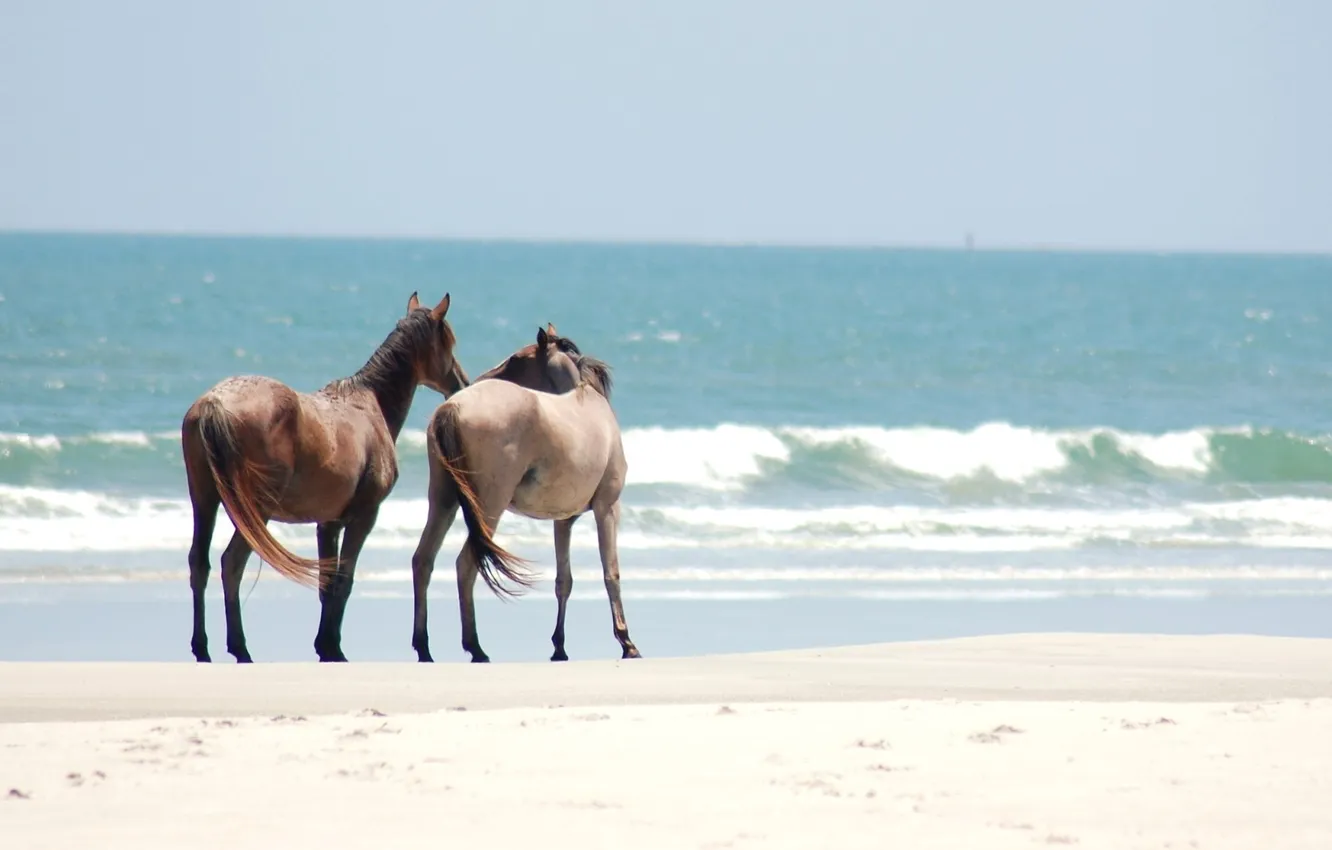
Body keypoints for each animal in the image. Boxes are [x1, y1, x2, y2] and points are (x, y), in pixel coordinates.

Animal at [183, 293, 468, 666]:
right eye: (449, 341)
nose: (461, 383)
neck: (369, 404)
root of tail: (214, 403)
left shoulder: (328, 523)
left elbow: (327, 582)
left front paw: (325, 646)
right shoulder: (363, 517)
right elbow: (343, 580)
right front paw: (334, 648)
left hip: (204, 501)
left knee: (199, 564)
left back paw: (202, 649)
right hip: (254, 511)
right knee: (232, 564)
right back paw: (240, 649)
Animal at [410, 326, 639, 666]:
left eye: (517, 358)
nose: (470, 379)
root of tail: (452, 407)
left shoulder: (563, 520)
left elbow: (564, 581)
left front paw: (559, 647)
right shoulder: (607, 507)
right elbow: (611, 573)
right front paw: (627, 642)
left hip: (443, 501)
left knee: (423, 560)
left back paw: (424, 648)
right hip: (489, 507)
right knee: (466, 564)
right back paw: (476, 648)